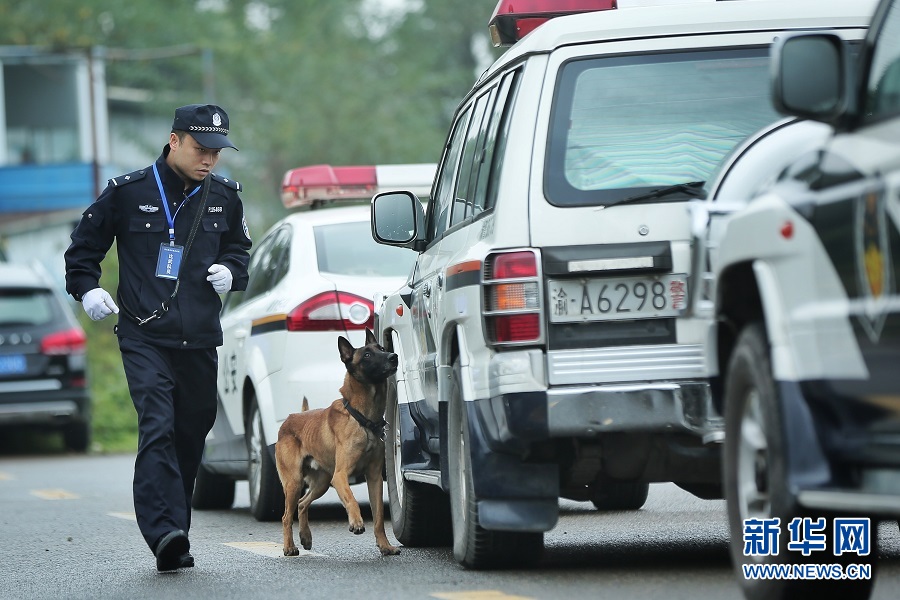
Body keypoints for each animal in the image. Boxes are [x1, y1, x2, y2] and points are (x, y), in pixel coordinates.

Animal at [275, 328, 400, 557]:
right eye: (367, 355)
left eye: (382, 348)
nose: (393, 356)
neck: (363, 419)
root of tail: (291, 418)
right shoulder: (341, 476)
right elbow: (351, 499)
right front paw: (356, 522)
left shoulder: (374, 478)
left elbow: (378, 517)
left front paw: (385, 546)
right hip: (295, 482)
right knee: (287, 515)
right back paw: (289, 547)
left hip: (322, 482)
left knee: (302, 504)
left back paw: (305, 537)